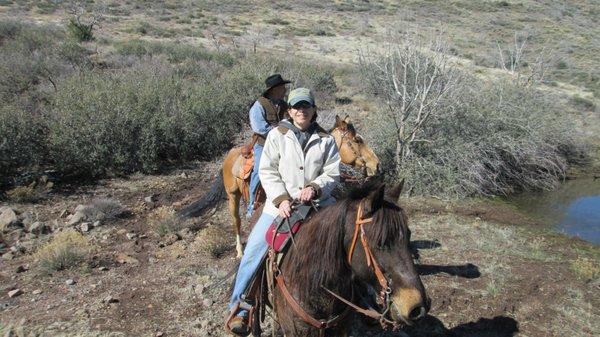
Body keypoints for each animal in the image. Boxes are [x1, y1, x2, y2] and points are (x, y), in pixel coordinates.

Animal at [176, 115, 380, 258]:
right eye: (358, 140)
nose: (376, 165)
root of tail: (229, 156)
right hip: (232, 195)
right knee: (236, 221)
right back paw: (240, 251)